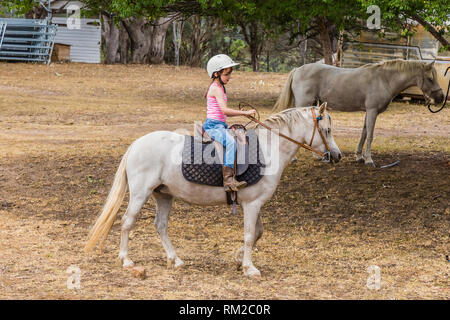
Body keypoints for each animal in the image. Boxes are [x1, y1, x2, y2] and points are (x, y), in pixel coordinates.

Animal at [85, 103, 342, 278]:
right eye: (327, 130)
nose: (337, 156)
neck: (270, 149)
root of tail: (137, 144)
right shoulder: (252, 204)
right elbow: (250, 235)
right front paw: (249, 267)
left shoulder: (255, 204)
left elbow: (258, 233)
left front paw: (238, 259)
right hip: (140, 194)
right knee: (127, 222)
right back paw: (126, 260)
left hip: (163, 194)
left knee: (160, 225)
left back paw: (175, 260)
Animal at [272, 59, 444, 168]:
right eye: (430, 78)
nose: (441, 97)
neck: (384, 79)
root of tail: (297, 70)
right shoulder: (372, 110)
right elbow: (371, 135)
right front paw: (369, 160)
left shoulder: (369, 111)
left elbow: (364, 132)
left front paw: (359, 157)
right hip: (303, 103)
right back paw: (295, 158)